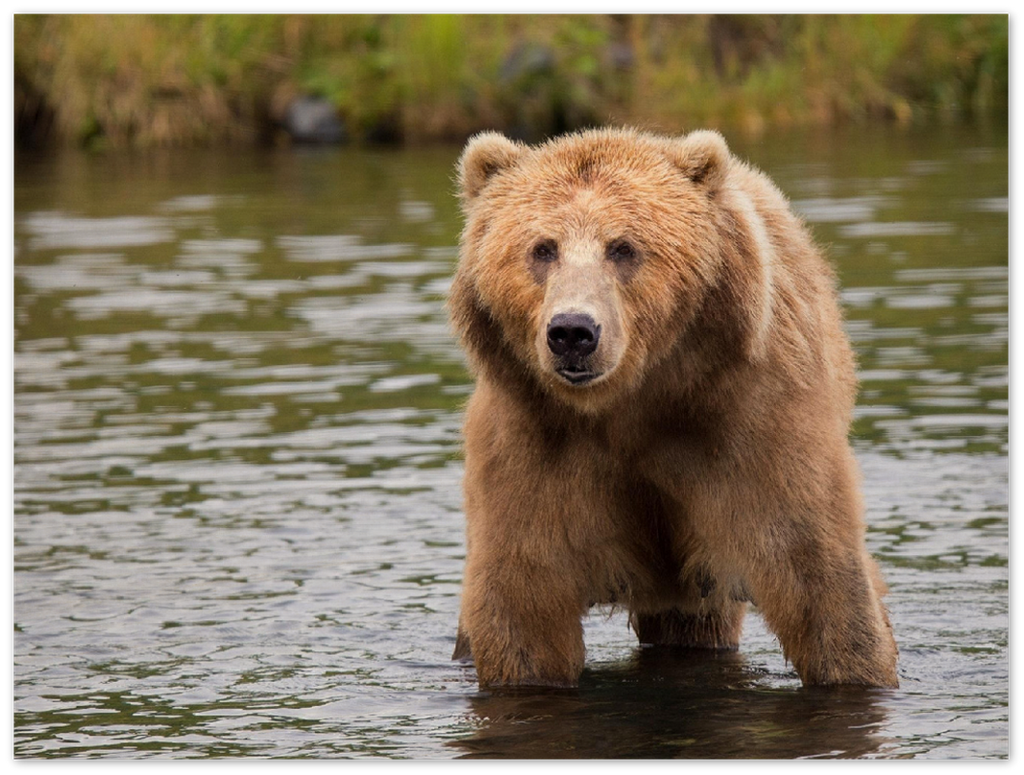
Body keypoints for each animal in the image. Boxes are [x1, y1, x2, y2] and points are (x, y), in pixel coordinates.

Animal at [447, 127, 898, 689]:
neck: (634, 402)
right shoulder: (535, 442)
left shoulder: (751, 424)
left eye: (623, 247)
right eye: (542, 248)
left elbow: (817, 574)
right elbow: (523, 601)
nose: (572, 332)